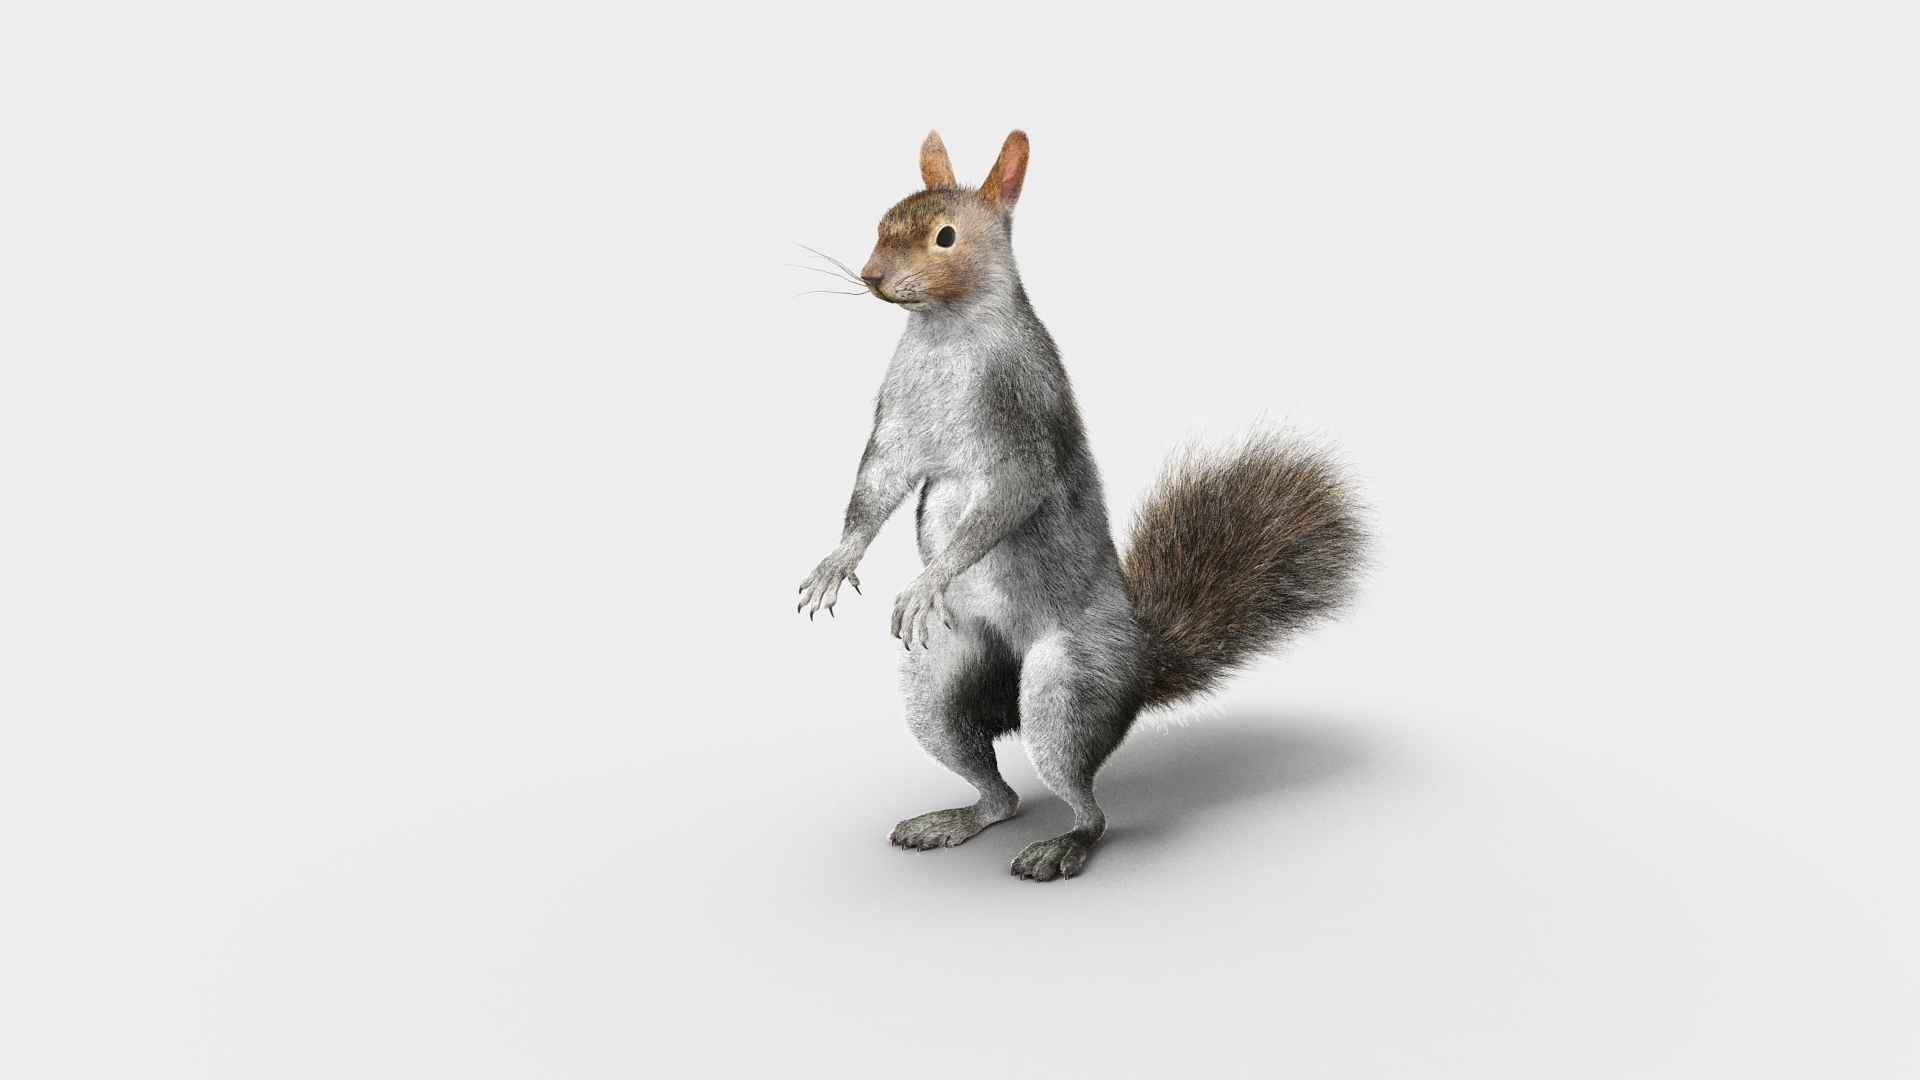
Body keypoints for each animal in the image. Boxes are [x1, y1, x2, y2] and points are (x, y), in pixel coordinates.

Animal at [797, 130, 1369, 881]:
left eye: (945, 236)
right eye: (882, 220)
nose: (871, 278)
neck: (944, 333)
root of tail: (1138, 670)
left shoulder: (1023, 423)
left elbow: (1002, 500)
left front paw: (928, 580)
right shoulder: (897, 422)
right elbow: (877, 486)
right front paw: (835, 563)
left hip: (1067, 686)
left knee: (1086, 805)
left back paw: (1059, 847)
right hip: (936, 683)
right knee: (1000, 794)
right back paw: (954, 820)